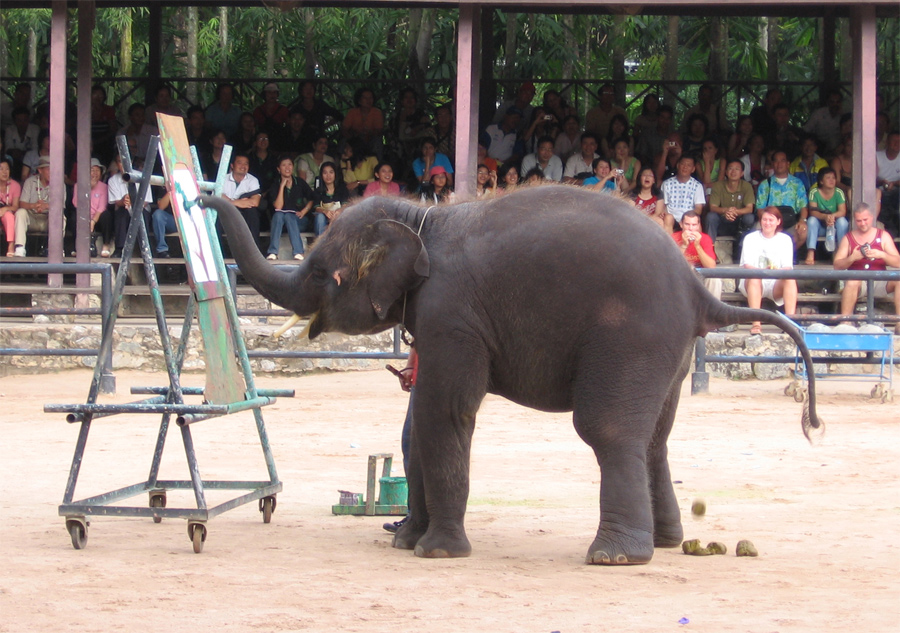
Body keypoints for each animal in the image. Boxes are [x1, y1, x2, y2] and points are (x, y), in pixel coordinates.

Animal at [204, 185, 824, 564]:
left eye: (321, 272)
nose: (205, 196)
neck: (421, 218)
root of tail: (700, 289)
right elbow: (416, 424)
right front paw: (407, 542)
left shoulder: (452, 313)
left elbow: (445, 412)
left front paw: (435, 553)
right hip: (668, 349)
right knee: (655, 437)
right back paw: (668, 542)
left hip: (633, 336)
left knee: (607, 429)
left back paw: (615, 557)